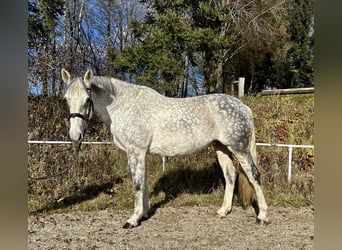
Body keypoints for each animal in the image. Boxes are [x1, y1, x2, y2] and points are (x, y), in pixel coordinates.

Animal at [62, 68, 268, 229]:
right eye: (66, 99)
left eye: (87, 99)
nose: (75, 136)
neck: (125, 107)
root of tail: (244, 107)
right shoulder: (141, 153)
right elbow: (143, 183)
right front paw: (144, 214)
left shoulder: (135, 152)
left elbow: (137, 184)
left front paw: (133, 220)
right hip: (221, 147)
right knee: (230, 175)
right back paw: (223, 211)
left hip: (239, 148)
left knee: (254, 175)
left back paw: (262, 217)